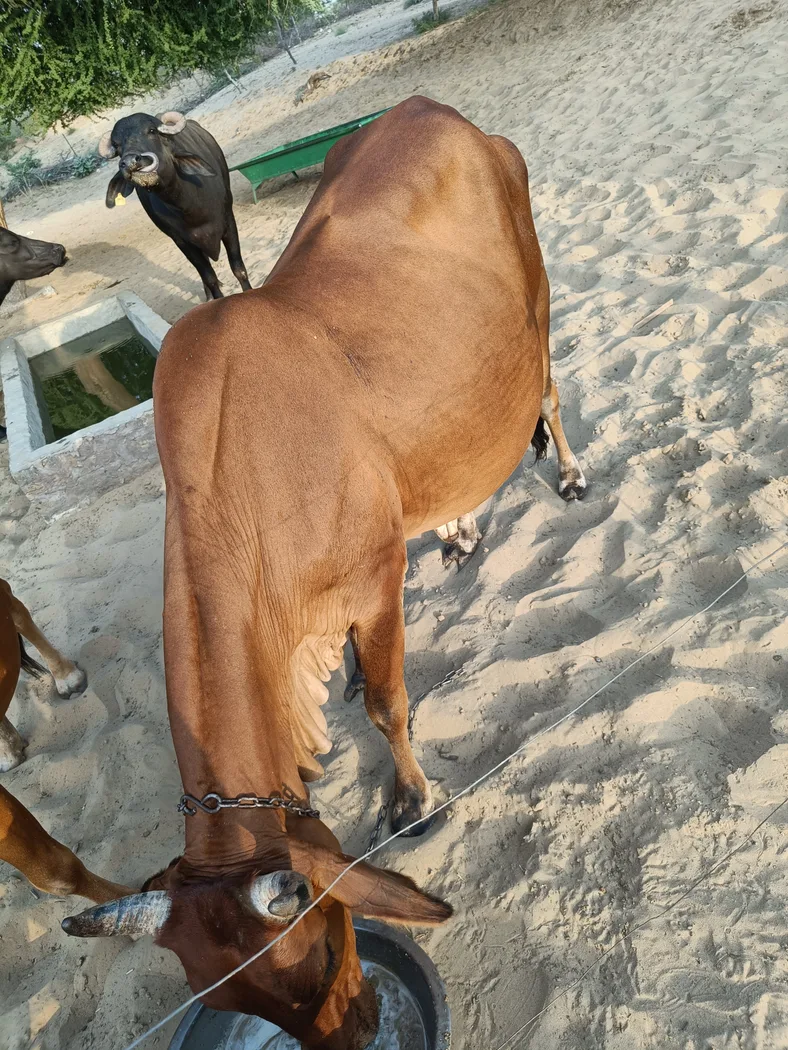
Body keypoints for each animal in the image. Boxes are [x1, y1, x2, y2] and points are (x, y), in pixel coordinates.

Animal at [98, 112, 251, 300]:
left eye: (152, 131)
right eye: (117, 147)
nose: (130, 162)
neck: (189, 206)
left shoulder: (228, 221)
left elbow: (238, 269)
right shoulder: (182, 241)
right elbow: (209, 277)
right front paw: (215, 298)